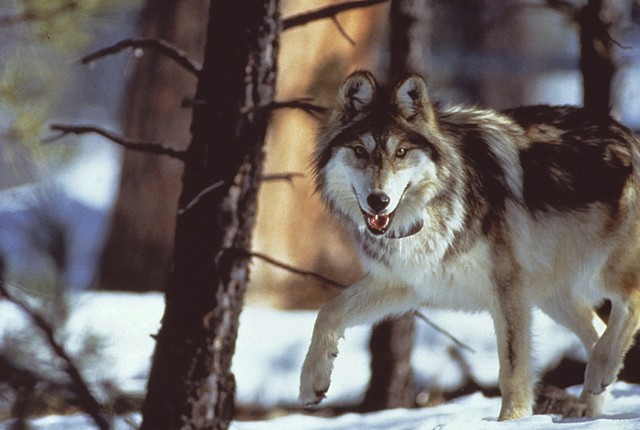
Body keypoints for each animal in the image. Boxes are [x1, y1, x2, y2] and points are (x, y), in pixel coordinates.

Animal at [299, 70, 640, 420]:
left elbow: (513, 370)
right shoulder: (407, 282)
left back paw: (599, 374)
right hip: (553, 296)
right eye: (360, 151)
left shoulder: (507, 290)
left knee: (630, 303)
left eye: (401, 153)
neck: (430, 211)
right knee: (597, 330)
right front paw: (312, 384)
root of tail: (630, 134)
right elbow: (327, 312)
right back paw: (589, 403)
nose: (378, 201)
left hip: (600, 273)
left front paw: (511, 420)